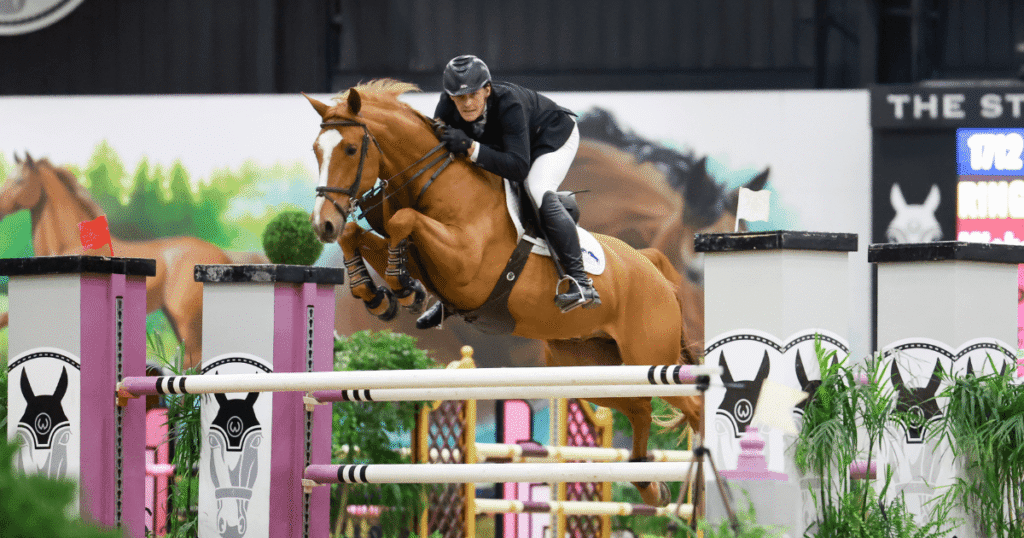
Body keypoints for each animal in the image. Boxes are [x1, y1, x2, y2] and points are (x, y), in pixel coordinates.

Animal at [304, 79, 701, 507]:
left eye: (350, 149)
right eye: (316, 150)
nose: (322, 225)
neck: (439, 185)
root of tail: (649, 264)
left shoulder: (467, 267)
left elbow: (402, 220)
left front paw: (401, 286)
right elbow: (362, 232)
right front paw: (379, 293)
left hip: (650, 357)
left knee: (693, 406)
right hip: (592, 367)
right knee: (640, 408)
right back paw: (650, 486)